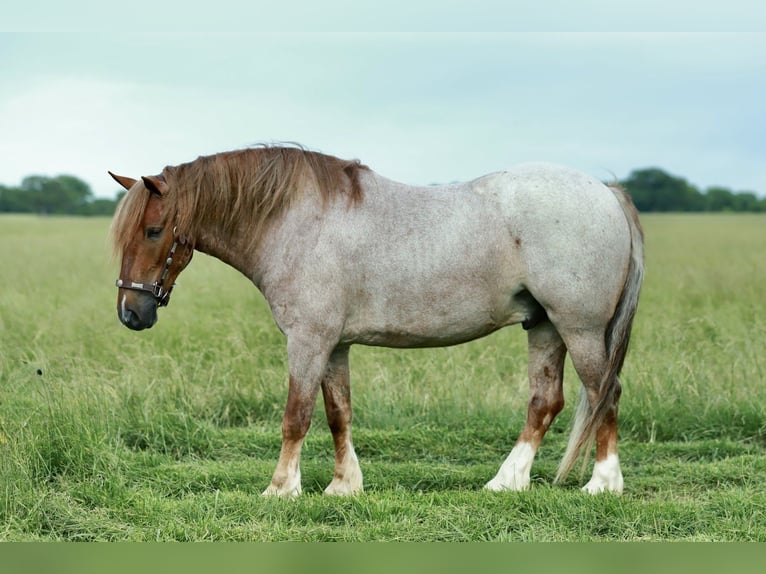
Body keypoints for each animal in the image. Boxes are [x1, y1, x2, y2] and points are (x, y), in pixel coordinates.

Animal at [109, 144, 643, 496]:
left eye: (154, 230)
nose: (131, 313)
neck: (297, 221)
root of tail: (606, 192)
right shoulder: (334, 346)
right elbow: (337, 414)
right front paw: (343, 486)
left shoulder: (307, 342)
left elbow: (295, 416)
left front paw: (281, 489)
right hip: (545, 327)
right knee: (545, 402)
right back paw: (507, 481)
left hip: (579, 329)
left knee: (605, 393)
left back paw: (603, 483)